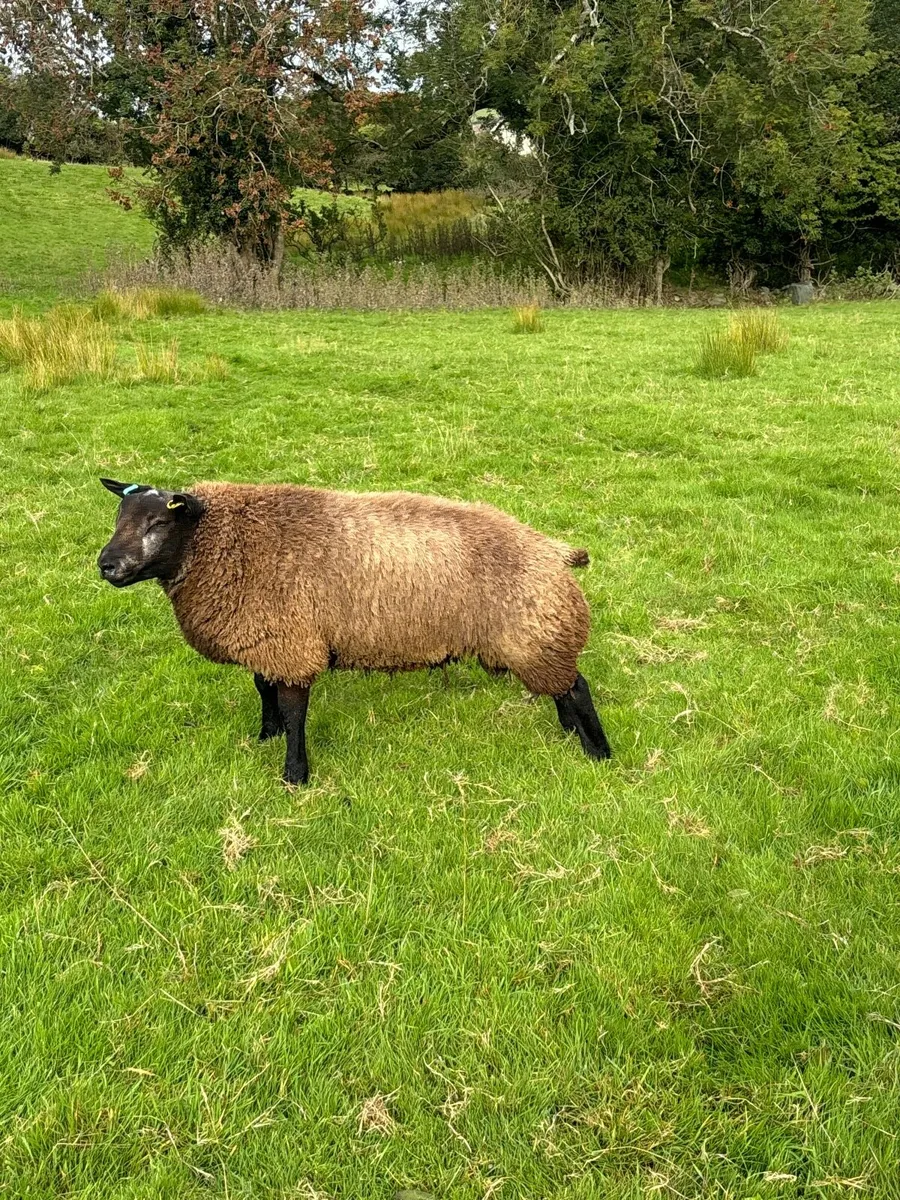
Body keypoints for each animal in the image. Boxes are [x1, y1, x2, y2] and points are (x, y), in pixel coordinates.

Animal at [97, 478, 612, 783]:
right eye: (118, 519)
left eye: (159, 521)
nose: (106, 565)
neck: (223, 544)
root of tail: (553, 549)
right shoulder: (264, 635)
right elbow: (263, 690)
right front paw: (266, 735)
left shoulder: (293, 644)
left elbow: (294, 712)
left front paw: (295, 774)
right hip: (538, 639)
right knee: (563, 690)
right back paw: (570, 732)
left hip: (533, 633)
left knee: (578, 689)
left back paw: (598, 752)